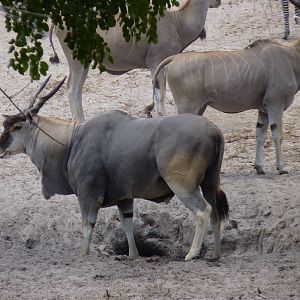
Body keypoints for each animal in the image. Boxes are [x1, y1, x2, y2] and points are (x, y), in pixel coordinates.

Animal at [49, 0, 220, 119]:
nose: (217, 2)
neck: (177, 20)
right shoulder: (156, 63)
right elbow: (161, 94)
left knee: (76, 90)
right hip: (78, 62)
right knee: (72, 89)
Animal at [151, 38, 300, 173]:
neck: (291, 56)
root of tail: (174, 58)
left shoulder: (264, 109)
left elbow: (260, 134)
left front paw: (259, 167)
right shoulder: (275, 104)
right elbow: (278, 135)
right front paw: (282, 168)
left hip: (199, 108)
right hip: (188, 107)